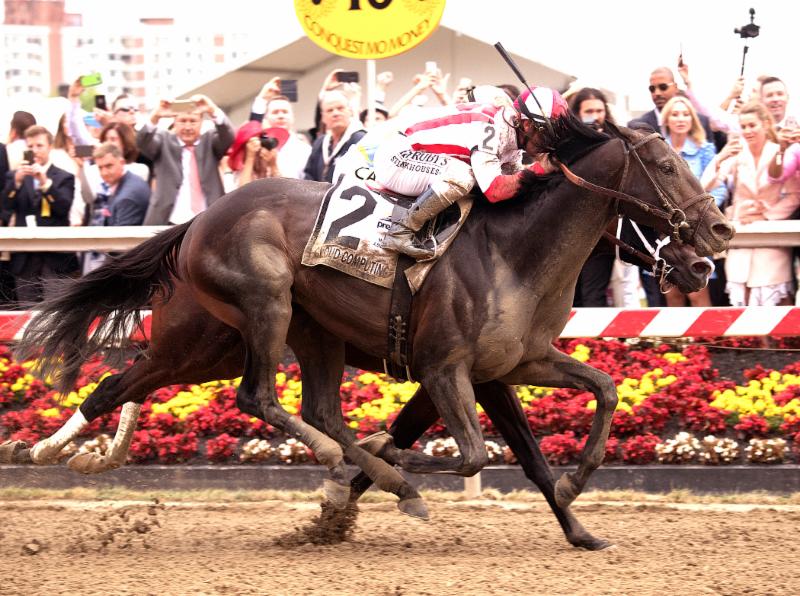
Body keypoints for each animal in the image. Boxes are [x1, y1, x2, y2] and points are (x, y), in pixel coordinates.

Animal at [17, 116, 732, 516]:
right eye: (665, 165)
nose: (717, 237)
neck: (515, 252)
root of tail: (197, 220)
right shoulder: (445, 369)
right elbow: (469, 455)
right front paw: (383, 469)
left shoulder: (521, 361)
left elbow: (604, 388)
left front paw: (578, 482)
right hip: (261, 308)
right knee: (258, 398)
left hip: (226, 344)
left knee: (131, 383)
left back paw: (61, 450)